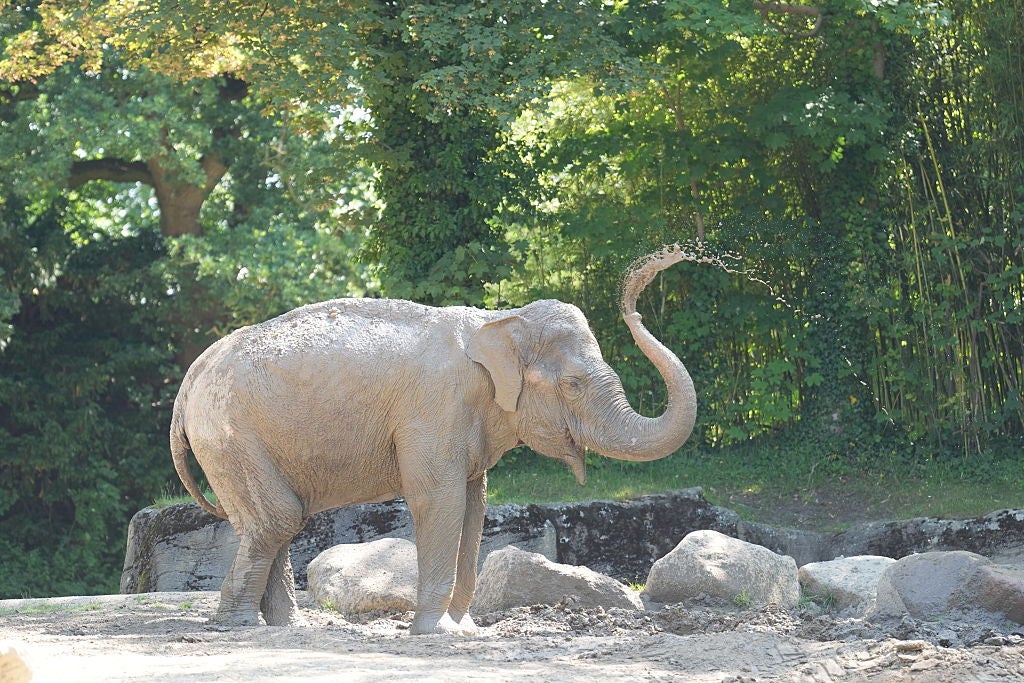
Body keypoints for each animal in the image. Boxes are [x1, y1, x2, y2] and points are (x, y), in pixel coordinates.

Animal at [170, 245, 697, 634]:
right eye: (572, 384)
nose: (662, 263)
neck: (497, 322)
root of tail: (192, 376)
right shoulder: (436, 408)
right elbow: (438, 500)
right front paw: (435, 632)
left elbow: (474, 507)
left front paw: (462, 631)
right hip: (230, 435)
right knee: (277, 518)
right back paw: (239, 625)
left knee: (278, 518)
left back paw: (285, 627)